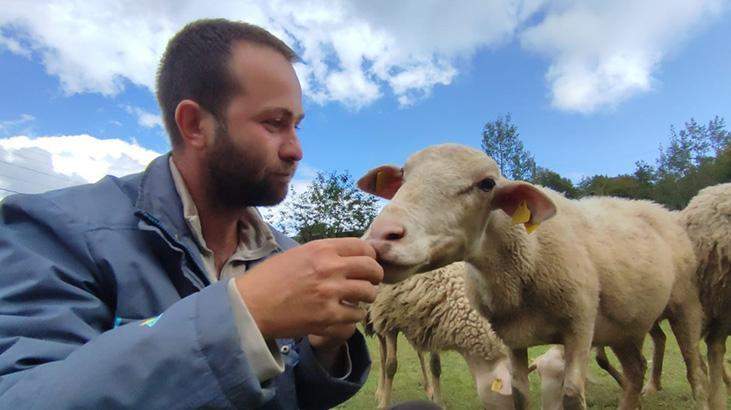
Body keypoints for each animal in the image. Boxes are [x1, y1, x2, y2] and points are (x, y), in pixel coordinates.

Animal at [366, 262, 516, 408]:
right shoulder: (389, 319)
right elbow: (391, 366)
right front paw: (384, 404)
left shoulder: (432, 324)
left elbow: (435, 367)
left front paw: (438, 401)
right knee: (382, 354)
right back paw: (380, 391)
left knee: (419, 353)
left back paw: (428, 388)